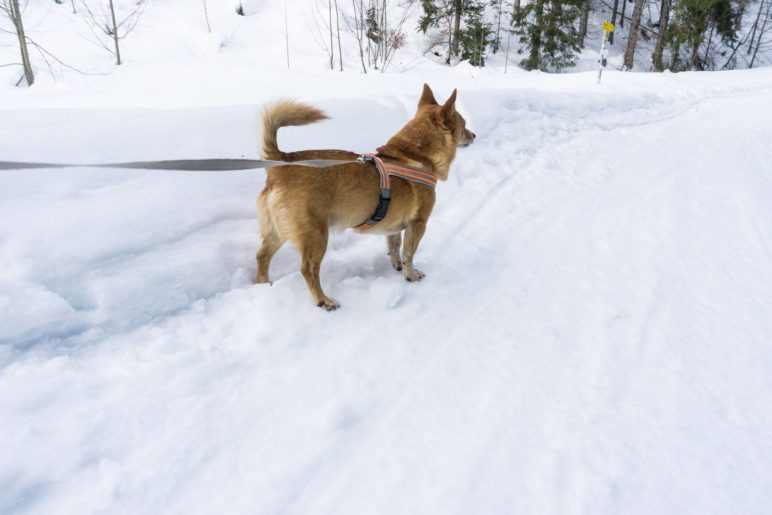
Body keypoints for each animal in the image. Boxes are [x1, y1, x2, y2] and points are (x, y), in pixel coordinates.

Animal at [256, 84, 474, 310]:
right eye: (464, 125)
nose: (474, 135)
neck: (415, 153)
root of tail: (282, 163)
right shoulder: (418, 224)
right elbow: (409, 254)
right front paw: (410, 275)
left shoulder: (394, 225)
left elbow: (394, 246)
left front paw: (396, 265)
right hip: (315, 235)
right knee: (308, 269)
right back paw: (323, 300)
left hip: (277, 231)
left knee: (262, 256)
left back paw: (264, 284)